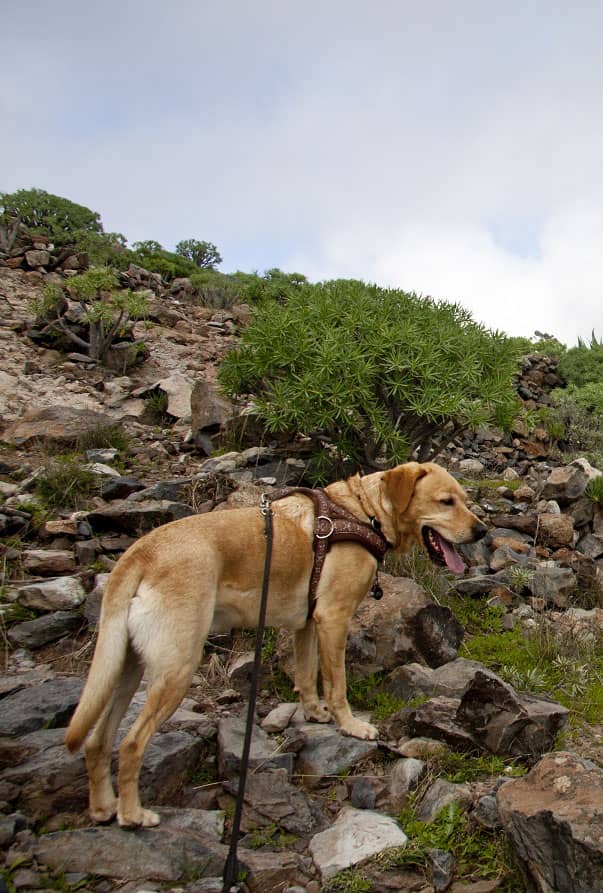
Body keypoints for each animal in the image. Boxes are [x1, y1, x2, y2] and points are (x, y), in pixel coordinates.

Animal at [65, 464, 486, 824]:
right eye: (446, 501)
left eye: (464, 499)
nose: (482, 531)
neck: (365, 512)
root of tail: (140, 553)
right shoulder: (333, 618)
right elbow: (337, 685)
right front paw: (349, 725)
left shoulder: (308, 624)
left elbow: (307, 674)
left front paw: (314, 713)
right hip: (176, 667)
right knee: (131, 743)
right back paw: (133, 814)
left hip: (126, 669)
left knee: (97, 741)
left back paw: (103, 807)